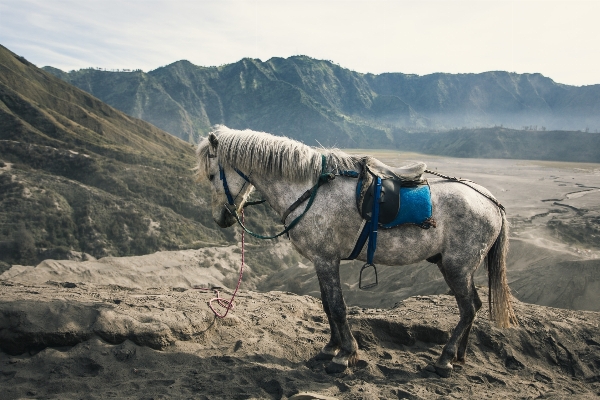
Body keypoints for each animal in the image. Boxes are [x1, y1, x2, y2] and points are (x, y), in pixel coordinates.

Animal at [196, 126, 516, 378]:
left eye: (212, 175)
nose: (220, 218)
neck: (310, 190)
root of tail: (491, 201)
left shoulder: (326, 260)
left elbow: (338, 307)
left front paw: (344, 355)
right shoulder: (321, 261)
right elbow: (327, 305)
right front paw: (330, 348)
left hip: (457, 267)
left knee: (469, 308)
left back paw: (445, 359)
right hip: (454, 266)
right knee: (473, 306)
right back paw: (460, 356)